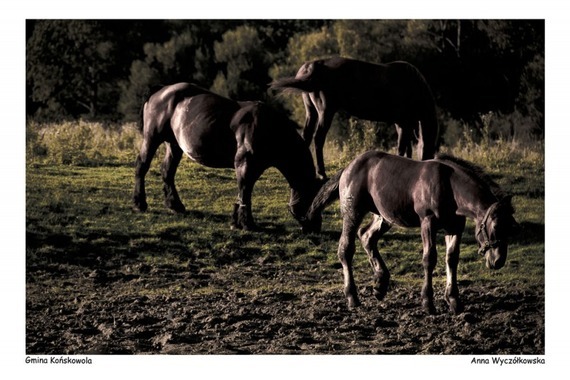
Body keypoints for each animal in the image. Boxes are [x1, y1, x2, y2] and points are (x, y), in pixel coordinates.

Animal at [130, 81, 322, 233]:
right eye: (313, 200)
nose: (315, 227)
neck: (268, 127)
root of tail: (161, 90)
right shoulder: (245, 163)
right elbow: (245, 190)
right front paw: (247, 223)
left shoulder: (252, 166)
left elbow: (243, 190)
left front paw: (237, 221)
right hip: (152, 137)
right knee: (142, 165)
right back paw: (139, 203)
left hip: (174, 144)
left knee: (167, 171)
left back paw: (175, 205)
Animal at [268, 56, 438, 180]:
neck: (413, 85)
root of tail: (312, 66)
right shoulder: (404, 122)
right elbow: (403, 147)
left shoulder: (402, 123)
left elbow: (407, 147)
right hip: (325, 111)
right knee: (318, 138)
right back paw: (322, 173)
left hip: (312, 112)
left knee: (307, 136)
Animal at [304, 151, 516, 314]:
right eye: (495, 227)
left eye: (512, 226)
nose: (498, 261)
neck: (449, 186)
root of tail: (348, 168)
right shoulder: (427, 222)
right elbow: (429, 259)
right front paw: (428, 303)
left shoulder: (455, 227)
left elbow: (452, 259)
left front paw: (454, 300)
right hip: (352, 213)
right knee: (346, 249)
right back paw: (352, 297)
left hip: (384, 217)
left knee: (366, 237)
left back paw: (380, 284)